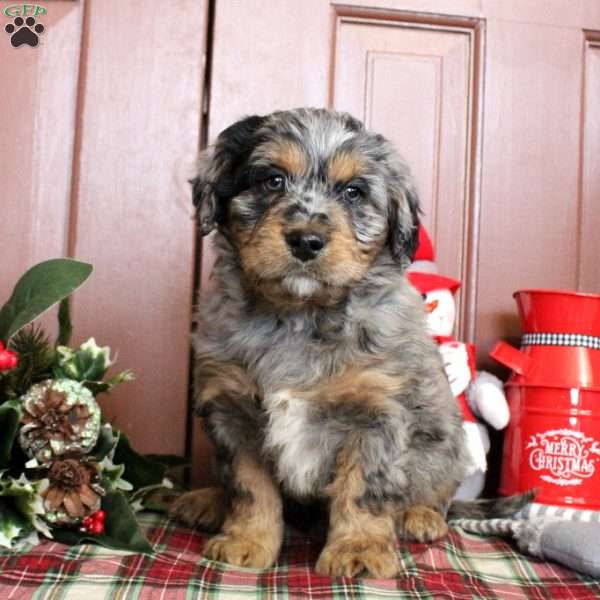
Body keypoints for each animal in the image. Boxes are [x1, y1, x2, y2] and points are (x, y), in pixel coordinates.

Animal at [171, 108, 528, 576]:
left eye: (354, 192)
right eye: (272, 180)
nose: (306, 240)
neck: (300, 316)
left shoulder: (375, 414)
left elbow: (362, 489)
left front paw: (357, 548)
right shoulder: (234, 414)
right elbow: (250, 487)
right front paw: (246, 540)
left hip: (446, 442)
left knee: (440, 491)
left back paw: (420, 515)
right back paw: (207, 500)